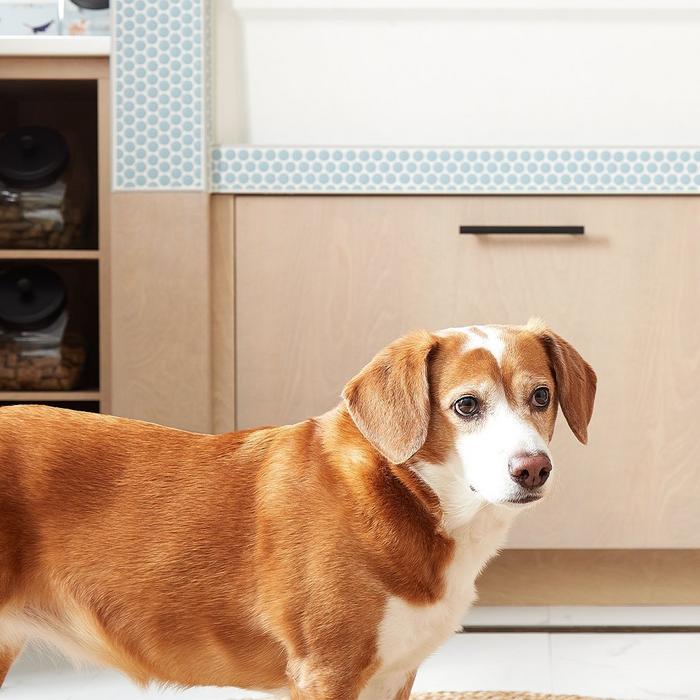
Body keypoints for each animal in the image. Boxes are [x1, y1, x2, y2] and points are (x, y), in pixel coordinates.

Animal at [0, 320, 596, 696]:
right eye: (467, 405)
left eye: (541, 396)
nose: (533, 468)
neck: (406, 495)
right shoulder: (327, 673)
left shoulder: (392, 676)